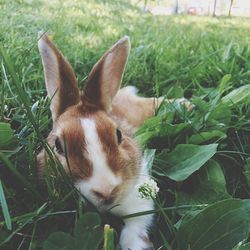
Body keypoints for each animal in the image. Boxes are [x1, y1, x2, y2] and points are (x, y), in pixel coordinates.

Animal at [36, 33, 191, 250]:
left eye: (118, 135)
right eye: (58, 146)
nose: (106, 190)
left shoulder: (139, 201)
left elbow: (136, 227)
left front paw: (137, 245)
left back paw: (186, 104)